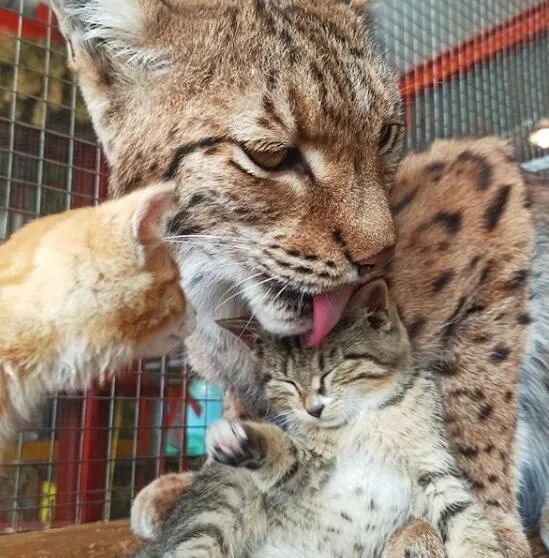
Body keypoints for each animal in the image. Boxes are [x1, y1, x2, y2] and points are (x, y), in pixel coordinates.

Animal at [138, 282, 500, 558]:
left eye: (332, 368)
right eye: (286, 381)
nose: (313, 409)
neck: (364, 419)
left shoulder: (434, 468)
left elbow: (465, 517)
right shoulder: (315, 469)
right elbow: (290, 457)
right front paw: (246, 440)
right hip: (221, 502)